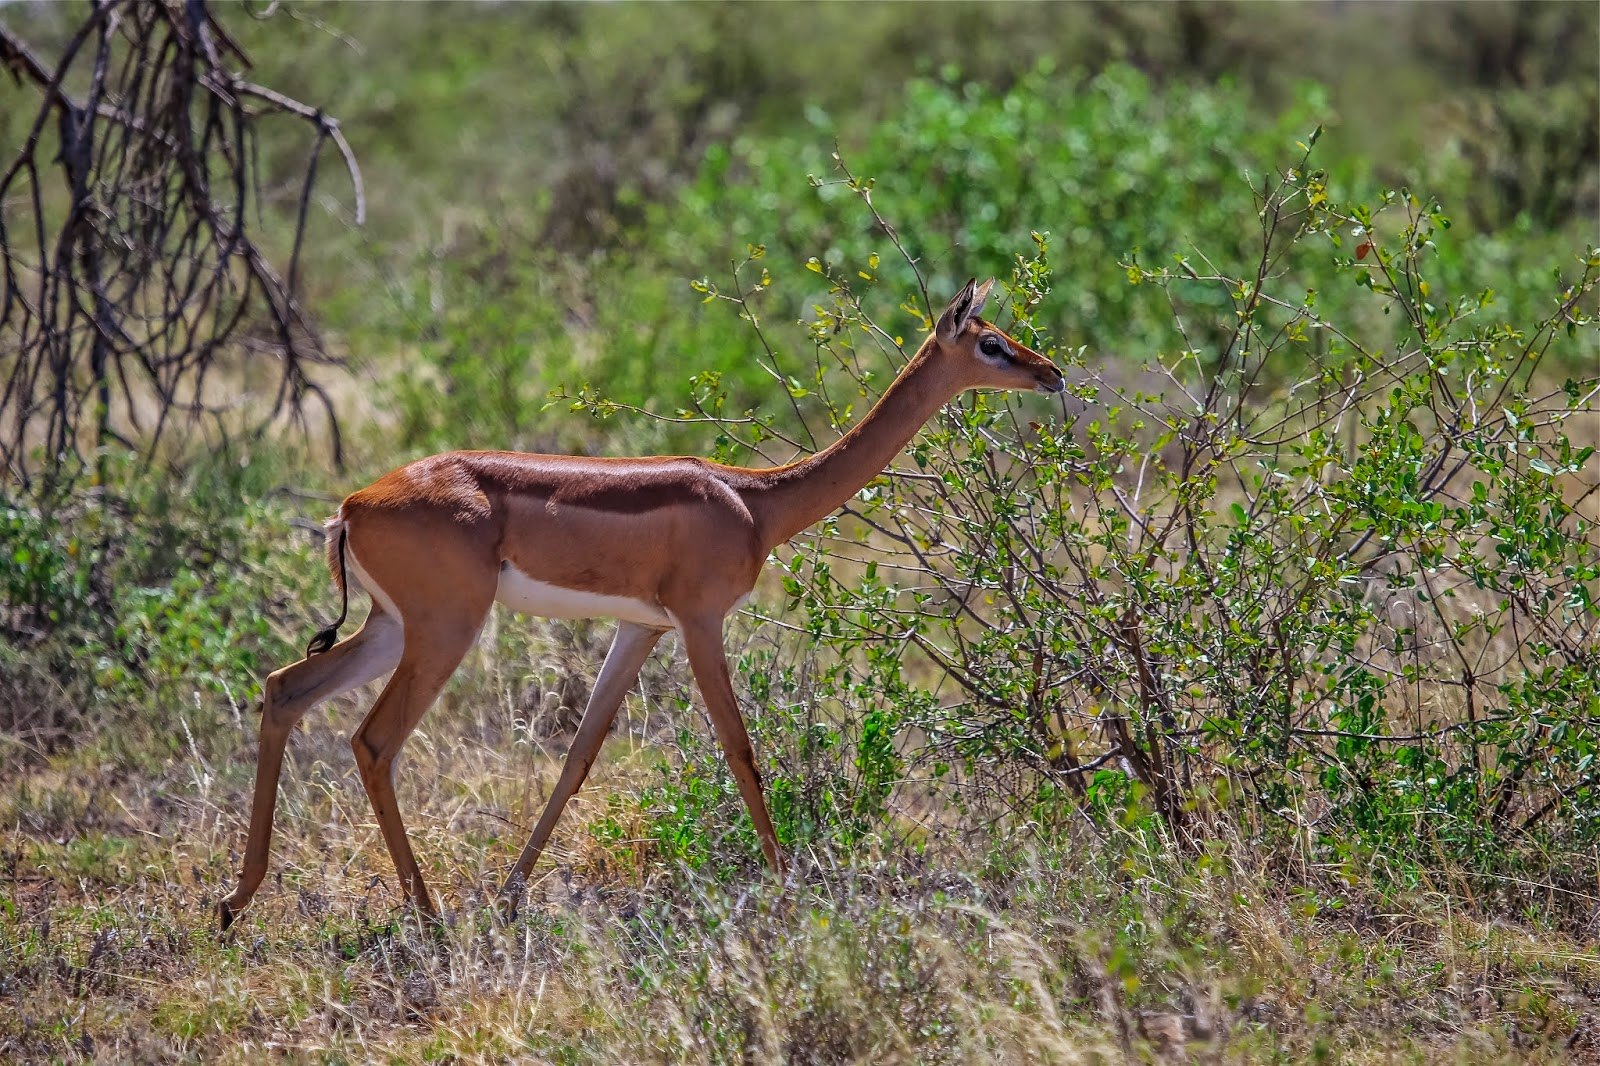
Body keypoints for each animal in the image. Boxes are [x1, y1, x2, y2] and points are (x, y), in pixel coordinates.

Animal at [212, 278, 1062, 928]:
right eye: (990, 342)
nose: (1051, 372)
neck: (756, 500)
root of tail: (352, 505)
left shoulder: (638, 628)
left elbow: (580, 755)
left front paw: (512, 895)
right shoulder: (700, 623)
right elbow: (741, 750)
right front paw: (791, 891)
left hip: (392, 627)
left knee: (284, 689)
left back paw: (235, 901)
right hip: (444, 628)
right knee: (374, 741)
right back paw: (427, 915)